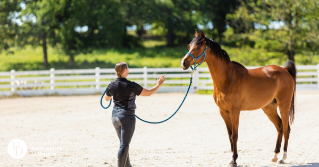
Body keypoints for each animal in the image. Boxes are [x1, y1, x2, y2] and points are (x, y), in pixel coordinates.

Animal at [181, 30, 296, 167]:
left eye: (199, 46)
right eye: (189, 45)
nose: (183, 63)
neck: (228, 78)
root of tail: (285, 70)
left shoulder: (235, 111)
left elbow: (234, 135)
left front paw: (234, 160)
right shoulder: (223, 112)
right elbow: (230, 135)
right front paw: (231, 158)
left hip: (284, 106)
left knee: (287, 129)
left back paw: (283, 158)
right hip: (269, 108)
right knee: (280, 127)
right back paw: (274, 156)